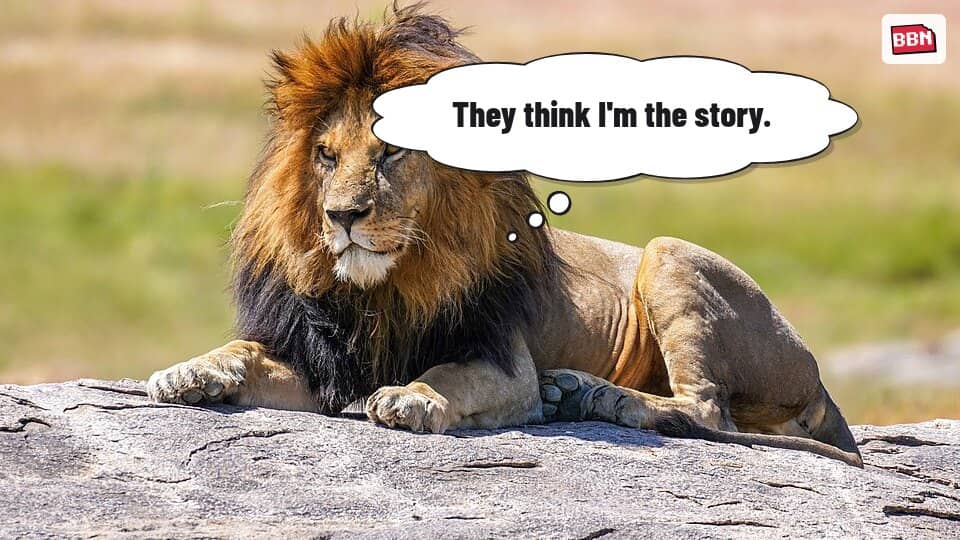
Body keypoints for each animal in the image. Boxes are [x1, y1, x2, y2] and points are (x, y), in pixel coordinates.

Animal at [147, 5, 862, 467]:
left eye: (390, 153)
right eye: (325, 155)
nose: (342, 216)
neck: (386, 289)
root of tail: (818, 376)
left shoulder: (504, 362)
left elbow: (448, 375)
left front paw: (412, 397)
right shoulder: (323, 364)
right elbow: (244, 351)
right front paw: (190, 371)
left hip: (668, 255)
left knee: (707, 411)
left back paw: (590, 394)